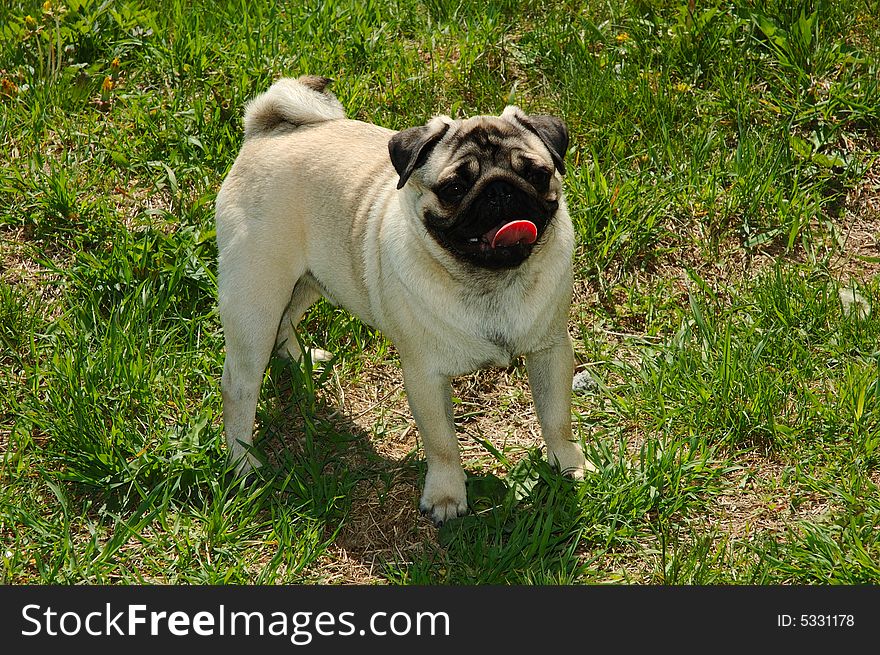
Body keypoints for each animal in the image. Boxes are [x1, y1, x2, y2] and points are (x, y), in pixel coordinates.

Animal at [216, 75, 588, 528]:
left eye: (536, 173)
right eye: (454, 188)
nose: (499, 190)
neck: (491, 282)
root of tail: (264, 131)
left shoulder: (551, 350)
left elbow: (556, 417)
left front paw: (568, 464)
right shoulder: (425, 376)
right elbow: (442, 443)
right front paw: (446, 496)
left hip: (306, 281)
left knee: (286, 321)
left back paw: (299, 356)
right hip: (256, 296)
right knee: (239, 385)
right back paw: (244, 464)